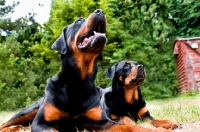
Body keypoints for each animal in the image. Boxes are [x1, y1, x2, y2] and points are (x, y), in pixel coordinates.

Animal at [0, 9, 172, 132]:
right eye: (79, 21)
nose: (100, 11)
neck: (78, 82)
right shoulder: (40, 123)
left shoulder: (101, 121)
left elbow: (130, 126)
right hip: (27, 111)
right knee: (7, 123)